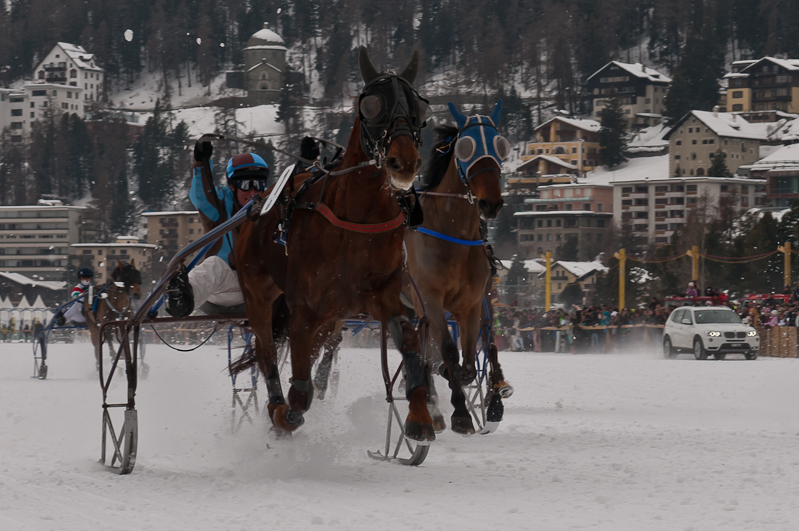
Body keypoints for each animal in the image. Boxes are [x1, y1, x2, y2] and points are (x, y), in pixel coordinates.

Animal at [234, 47, 438, 442]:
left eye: (418, 108)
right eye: (371, 105)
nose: (404, 163)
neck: (356, 221)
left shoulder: (381, 294)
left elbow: (407, 336)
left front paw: (420, 414)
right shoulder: (303, 309)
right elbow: (299, 396)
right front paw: (282, 416)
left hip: (332, 316)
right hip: (257, 293)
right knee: (266, 352)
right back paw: (275, 407)